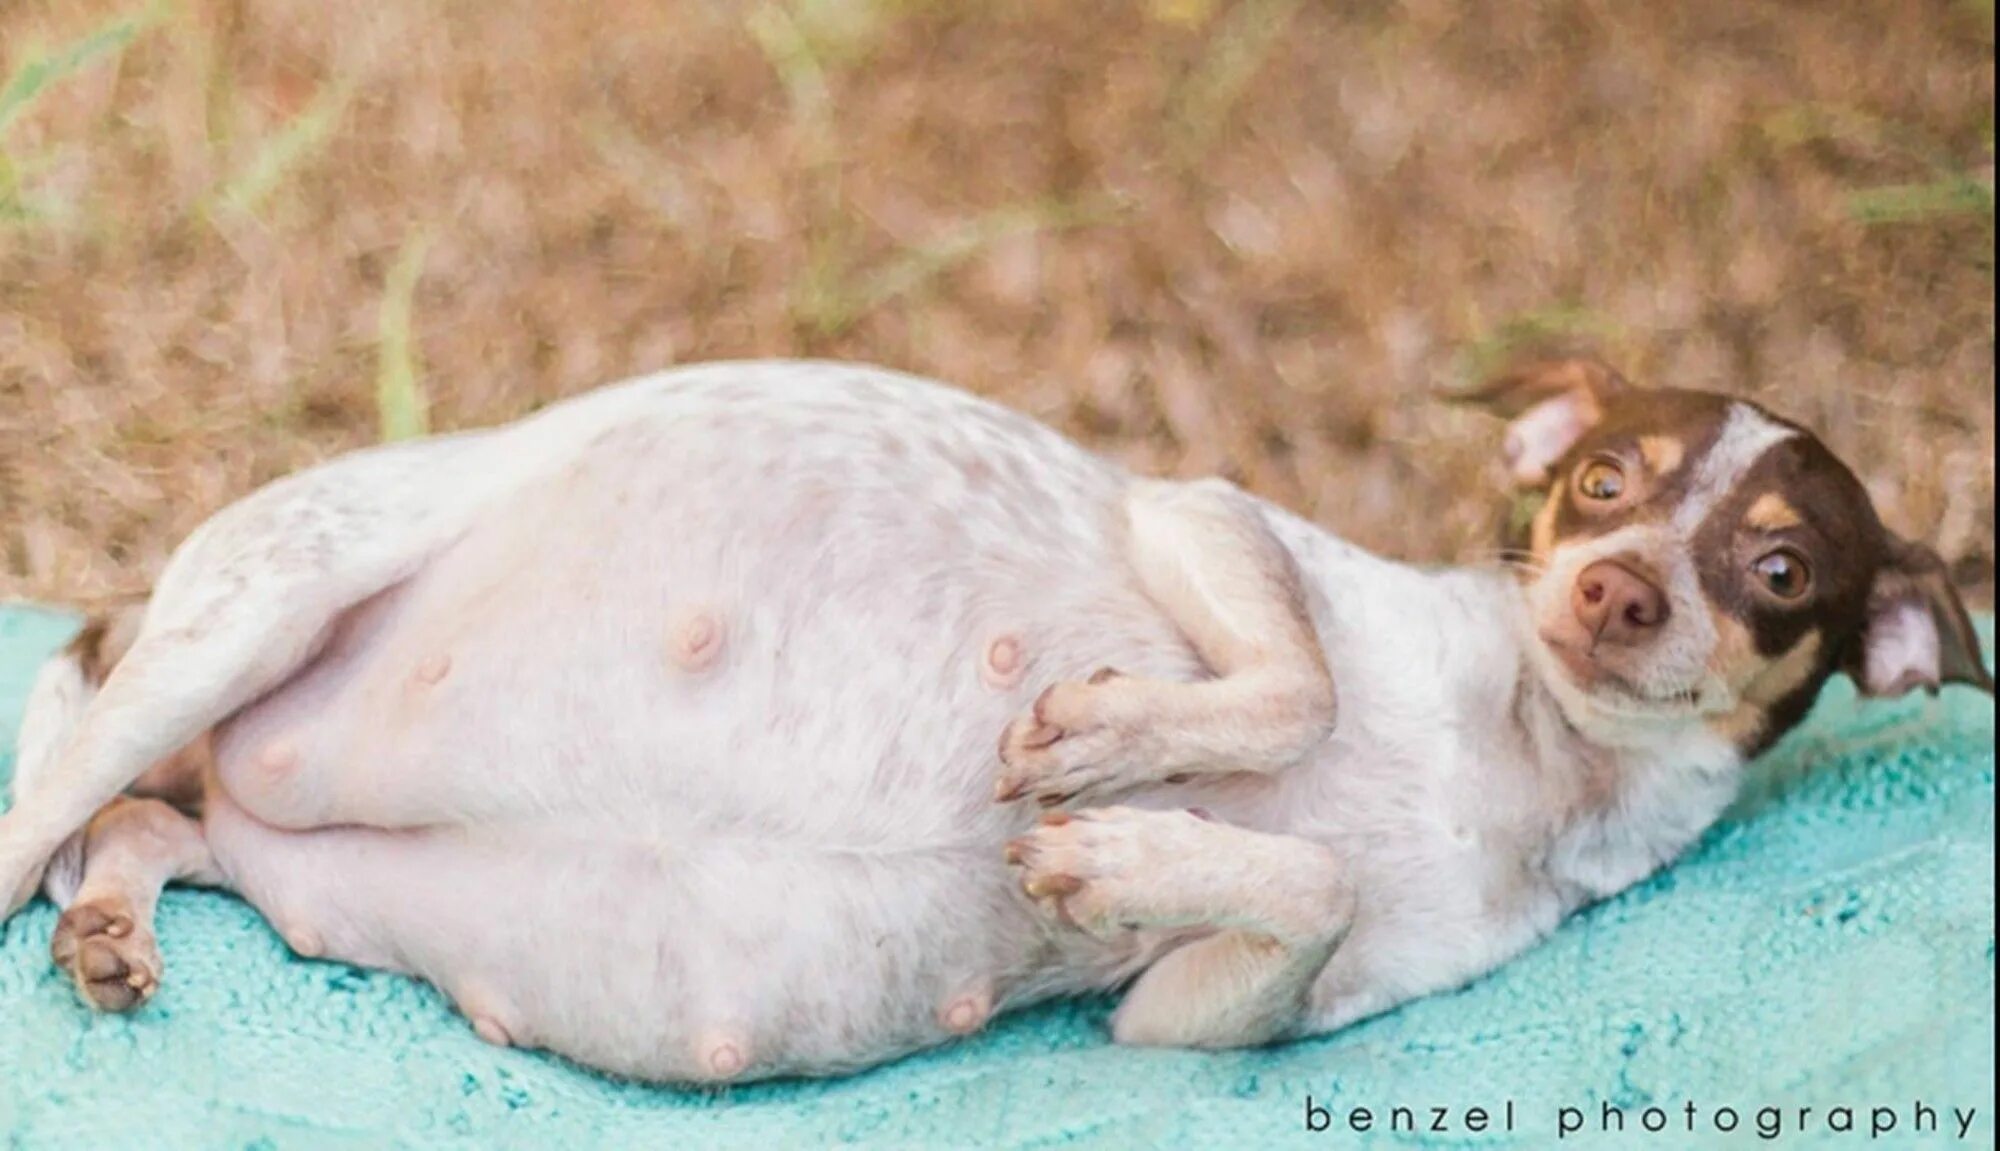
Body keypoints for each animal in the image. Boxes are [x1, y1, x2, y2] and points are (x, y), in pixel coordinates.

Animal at [0, 355, 1984, 1087]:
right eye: (1601, 481)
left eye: (1781, 567)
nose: (1617, 591)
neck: (1523, 755)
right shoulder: (1204, 519)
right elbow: (1296, 687)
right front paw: (1116, 756)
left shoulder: (1191, 1021)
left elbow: (1301, 887)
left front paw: (1126, 842)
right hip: (253, 611)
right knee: (49, 779)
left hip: (276, 835)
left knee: (155, 824)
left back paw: (114, 927)